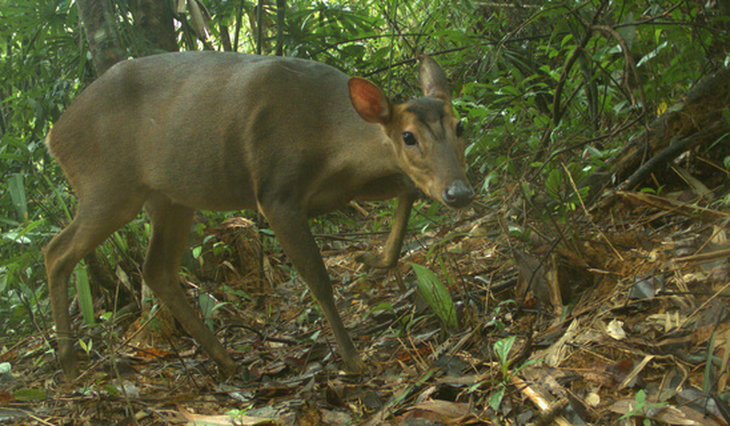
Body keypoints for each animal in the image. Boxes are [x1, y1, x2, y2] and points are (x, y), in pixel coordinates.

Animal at [45, 51, 474, 378]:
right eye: (408, 136)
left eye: (460, 126)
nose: (459, 191)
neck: (330, 137)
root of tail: (53, 136)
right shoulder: (275, 191)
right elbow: (318, 279)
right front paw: (354, 360)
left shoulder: (342, 188)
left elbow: (408, 189)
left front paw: (373, 258)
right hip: (107, 187)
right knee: (56, 252)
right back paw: (68, 363)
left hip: (169, 197)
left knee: (156, 270)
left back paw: (226, 360)